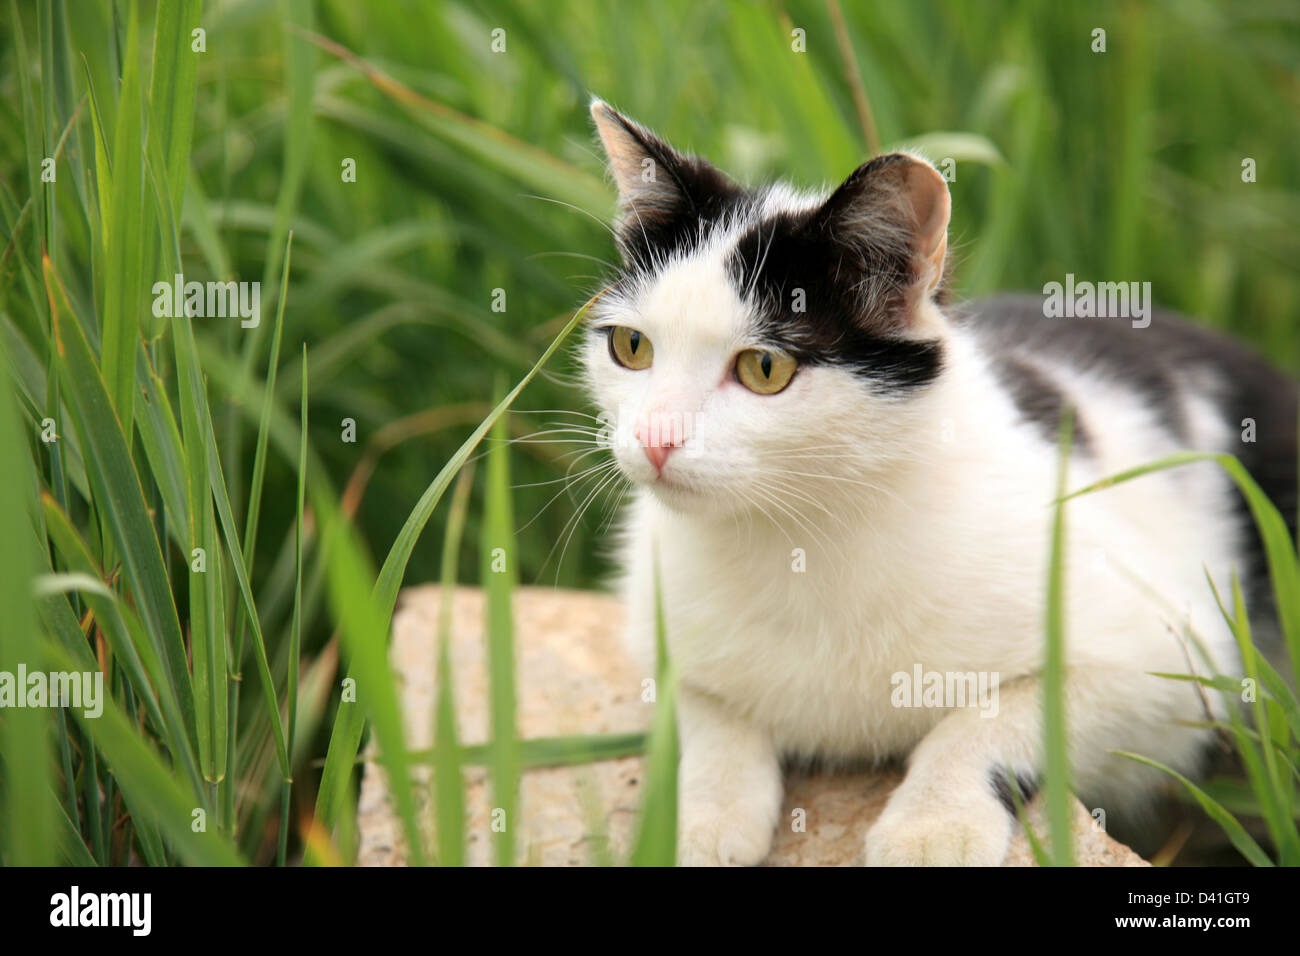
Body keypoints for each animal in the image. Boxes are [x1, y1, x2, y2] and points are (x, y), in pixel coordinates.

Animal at [582, 98, 1300, 868]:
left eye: (764, 369)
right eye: (631, 347)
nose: (654, 439)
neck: (801, 536)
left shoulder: (1171, 659)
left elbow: (990, 717)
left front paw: (934, 824)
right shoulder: (653, 627)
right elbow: (706, 714)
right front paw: (696, 818)